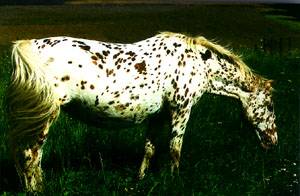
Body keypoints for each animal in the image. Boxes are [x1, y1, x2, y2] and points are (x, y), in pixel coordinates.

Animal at [5, 31, 278, 191]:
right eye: (270, 105)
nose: (273, 141)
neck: (199, 63)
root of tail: (29, 45)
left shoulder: (158, 116)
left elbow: (149, 149)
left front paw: (141, 179)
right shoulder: (181, 110)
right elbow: (175, 149)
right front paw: (174, 182)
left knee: (33, 157)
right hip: (47, 117)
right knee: (31, 156)